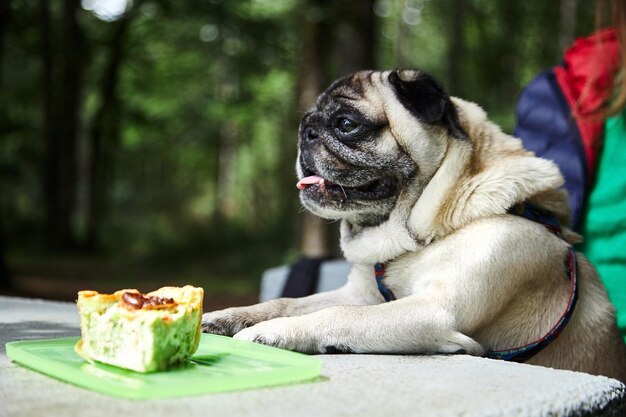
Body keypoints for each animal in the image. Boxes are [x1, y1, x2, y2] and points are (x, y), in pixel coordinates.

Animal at [204, 70, 624, 382]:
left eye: (346, 124)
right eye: (308, 122)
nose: (305, 132)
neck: (420, 236)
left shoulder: (434, 309)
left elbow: (337, 315)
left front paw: (274, 331)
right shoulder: (361, 295)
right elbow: (288, 302)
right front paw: (230, 316)